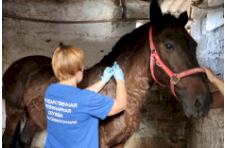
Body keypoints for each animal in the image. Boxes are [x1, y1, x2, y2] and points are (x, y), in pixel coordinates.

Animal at [2, 0, 213, 147]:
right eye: (169, 45)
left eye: (194, 45)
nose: (203, 101)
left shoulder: (119, 143)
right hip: (13, 112)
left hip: (32, 119)